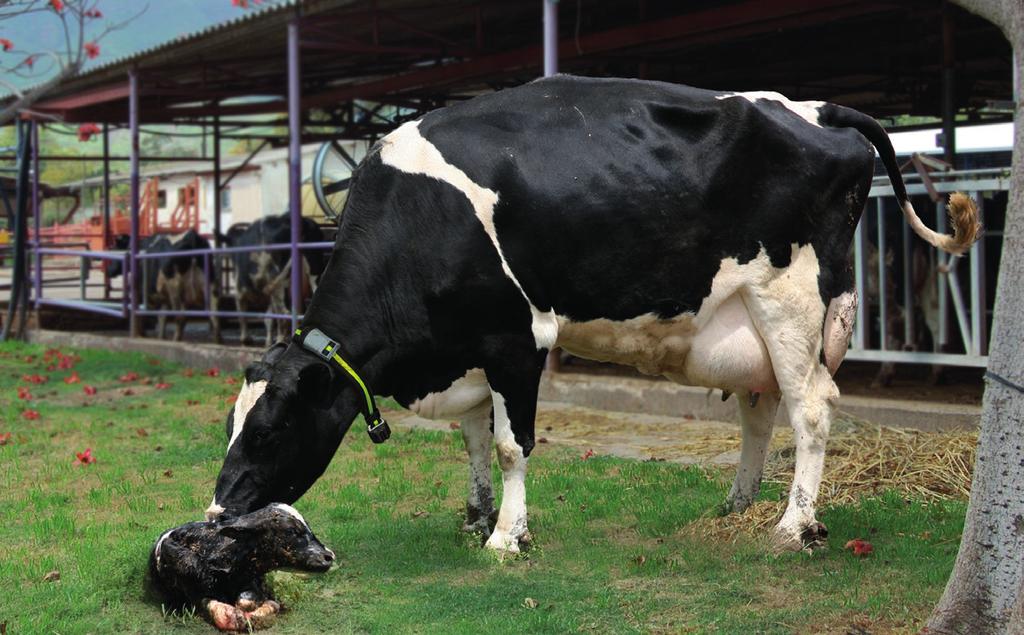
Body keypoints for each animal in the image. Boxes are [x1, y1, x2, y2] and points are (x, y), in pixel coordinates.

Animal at [148, 505, 333, 630]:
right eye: (291, 531)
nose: (329, 556)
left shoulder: (254, 580)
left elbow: (247, 601)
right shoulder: (193, 590)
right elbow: (212, 605)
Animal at [221, 214, 327, 348]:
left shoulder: (240, 289)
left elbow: (242, 314)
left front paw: (245, 339)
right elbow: (269, 318)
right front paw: (267, 341)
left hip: (277, 279)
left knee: (284, 315)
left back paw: (280, 341)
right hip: (314, 268)